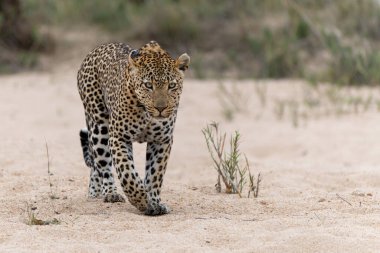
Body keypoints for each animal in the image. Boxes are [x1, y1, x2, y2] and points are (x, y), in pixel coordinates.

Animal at [76, 41, 190, 215]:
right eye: (148, 85)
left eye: (172, 86)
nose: (161, 108)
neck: (147, 114)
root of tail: (95, 50)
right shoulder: (119, 137)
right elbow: (127, 171)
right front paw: (141, 200)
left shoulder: (162, 140)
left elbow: (155, 174)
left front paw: (154, 202)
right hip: (99, 127)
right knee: (102, 163)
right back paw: (110, 193)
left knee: (95, 165)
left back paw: (94, 193)